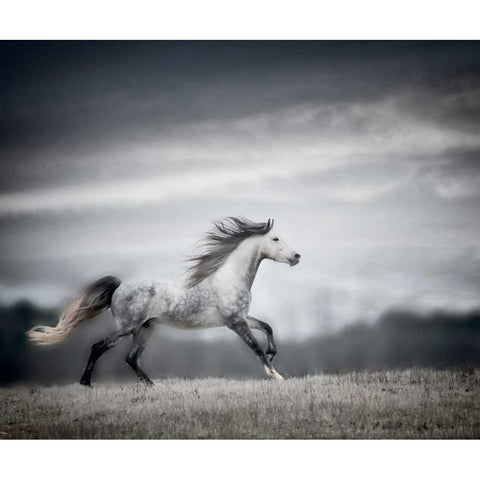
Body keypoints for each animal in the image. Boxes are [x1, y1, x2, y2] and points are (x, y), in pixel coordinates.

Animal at [27, 218, 300, 386]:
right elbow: (255, 347)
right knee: (99, 347)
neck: (228, 279)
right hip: (127, 328)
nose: (297, 256)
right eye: (275, 239)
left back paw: (152, 385)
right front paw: (276, 376)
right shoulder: (235, 322)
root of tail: (119, 287)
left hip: (145, 328)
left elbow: (267, 327)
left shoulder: (241, 318)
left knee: (131, 358)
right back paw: (86, 384)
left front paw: (272, 355)